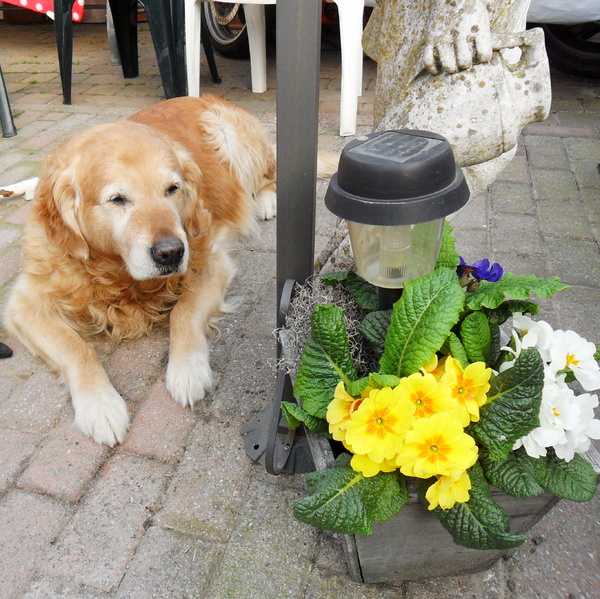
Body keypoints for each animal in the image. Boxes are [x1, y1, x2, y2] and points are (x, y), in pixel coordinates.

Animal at [3, 95, 338, 446]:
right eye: (117, 199)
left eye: (173, 189)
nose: (171, 252)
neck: (115, 273)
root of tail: (199, 97)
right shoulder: (25, 304)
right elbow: (77, 349)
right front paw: (100, 405)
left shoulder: (210, 261)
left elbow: (183, 312)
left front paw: (187, 370)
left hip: (229, 134)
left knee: (269, 176)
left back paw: (266, 201)